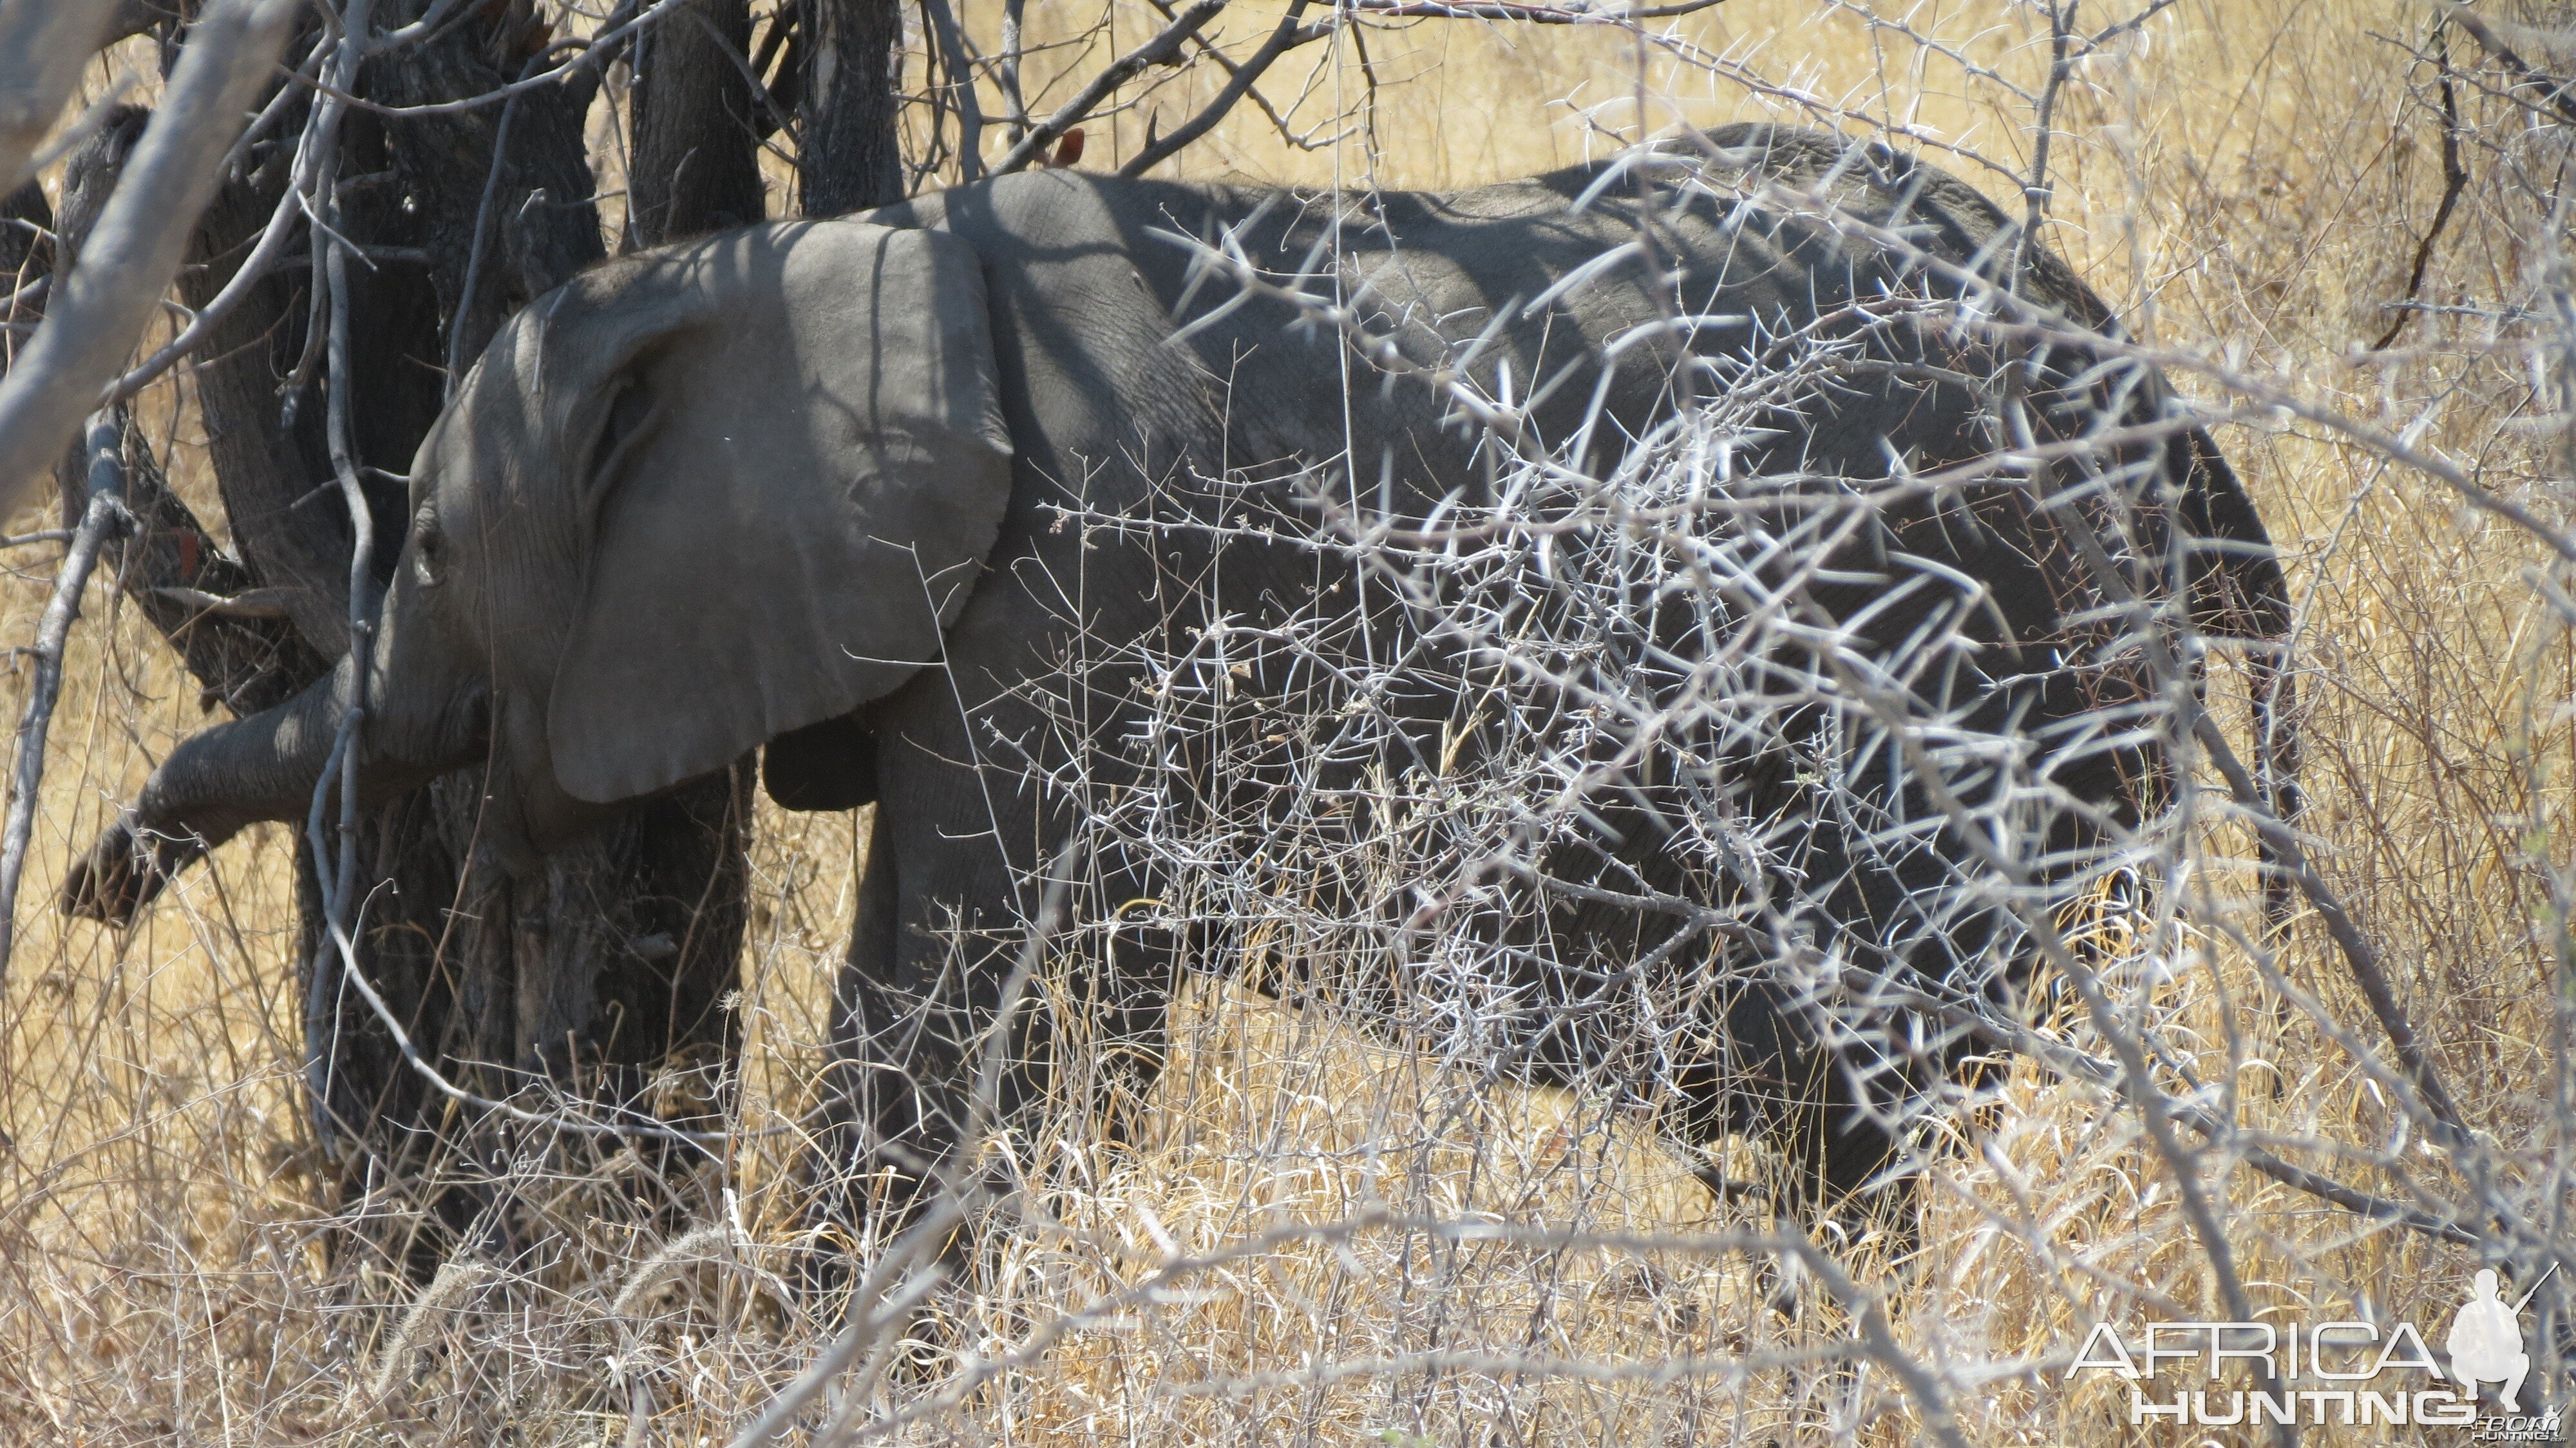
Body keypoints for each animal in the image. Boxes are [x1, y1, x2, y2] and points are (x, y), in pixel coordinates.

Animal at [61, 124, 2287, 1247]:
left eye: (434, 555)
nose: (89, 885)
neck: (833, 264)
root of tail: (2160, 413)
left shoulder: (1073, 604)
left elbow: (962, 1046)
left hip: (1990, 694)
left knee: (1886, 1083)